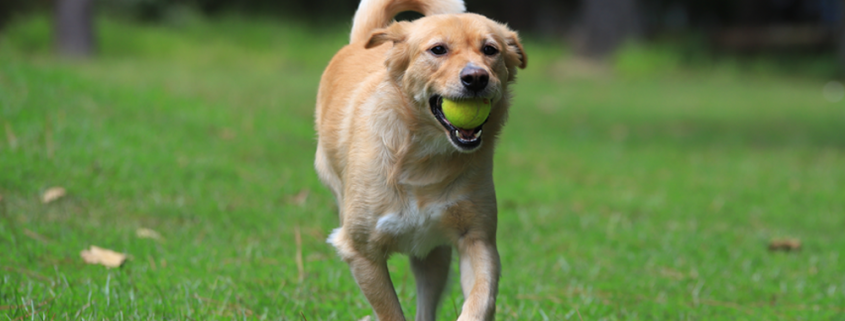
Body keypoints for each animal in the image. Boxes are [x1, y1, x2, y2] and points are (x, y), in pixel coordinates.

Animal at [314, 0, 524, 318]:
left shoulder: (477, 238)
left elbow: (481, 299)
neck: (425, 158)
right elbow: (390, 312)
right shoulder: (361, 251)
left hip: (433, 254)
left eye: (490, 49)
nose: (476, 77)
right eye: (438, 49)